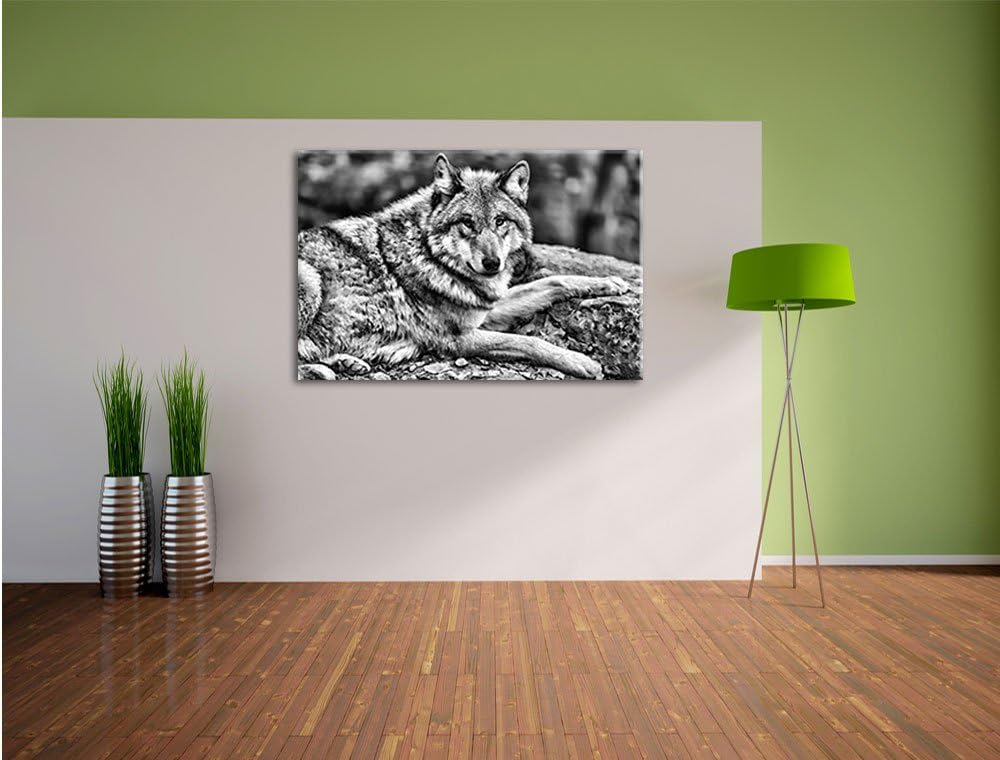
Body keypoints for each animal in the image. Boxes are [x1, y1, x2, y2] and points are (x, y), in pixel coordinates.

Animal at [297, 153, 630, 379]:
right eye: (467, 223)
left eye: (500, 221)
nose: (492, 263)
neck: (431, 255)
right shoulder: (460, 339)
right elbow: (529, 342)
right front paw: (583, 362)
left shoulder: (486, 309)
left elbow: (552, 281)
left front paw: (607, 282)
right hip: (310, 280)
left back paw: (350, 360)